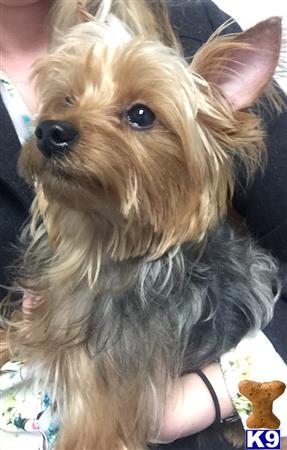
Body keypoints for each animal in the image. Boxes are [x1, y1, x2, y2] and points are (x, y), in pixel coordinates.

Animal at [0, 13, 284, 450]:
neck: (103, 244)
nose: (49, 131)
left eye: (141, 114)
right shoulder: (37, 323)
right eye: (67, 100)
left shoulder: (99, 408)